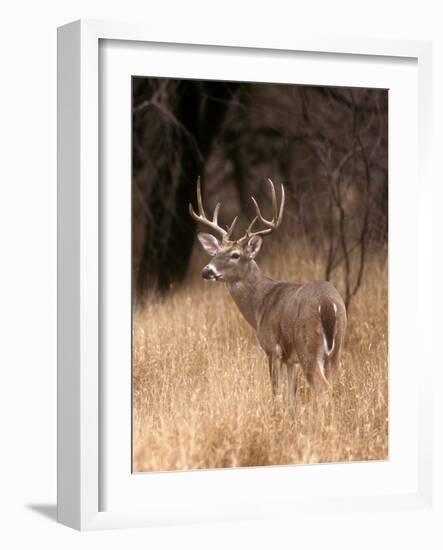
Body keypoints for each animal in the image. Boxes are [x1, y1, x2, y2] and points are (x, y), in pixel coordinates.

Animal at [189, 177, 348, 414]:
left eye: (235, 255)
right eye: (216, 252)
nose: (206, 271)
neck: (259, 306)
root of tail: (328, 304)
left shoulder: (272, 348)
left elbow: (277, 394)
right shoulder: (290, 359)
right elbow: (291, 397)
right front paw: (291, 418)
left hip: (308, 345)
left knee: (323, 389)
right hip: (336, 347)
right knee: (334, 386)